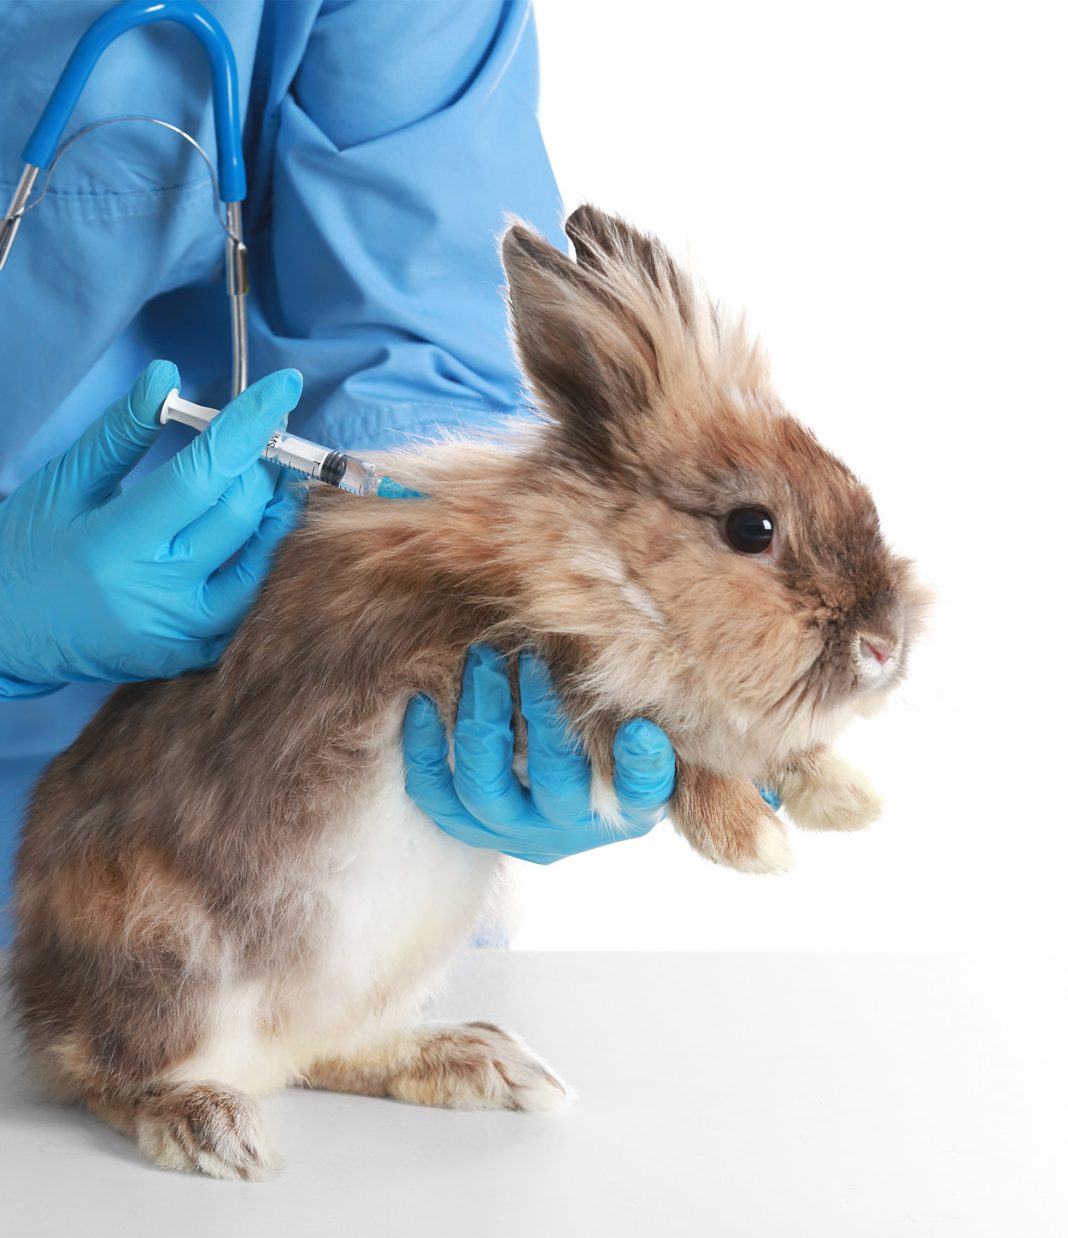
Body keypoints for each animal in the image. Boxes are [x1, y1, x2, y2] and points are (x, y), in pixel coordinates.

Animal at [11, 205, 924, 1181]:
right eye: (752, 527)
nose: (884, 646)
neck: (590, 567)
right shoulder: (498, 684)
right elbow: (662, 742)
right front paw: (754, 840)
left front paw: (845, 797)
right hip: (170, 966)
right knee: (111, 1074)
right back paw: (212, 1127)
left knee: (316, 1053)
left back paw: (477, 1063)